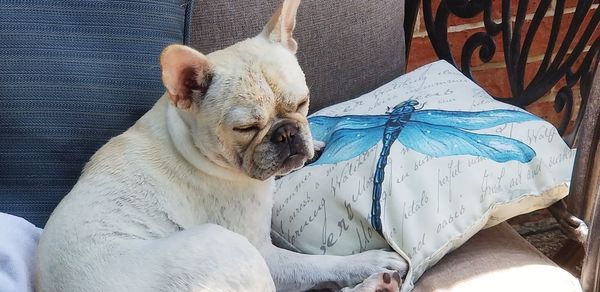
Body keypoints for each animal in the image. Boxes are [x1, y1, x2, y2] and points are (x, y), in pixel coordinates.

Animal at [36, 1, 408, 290]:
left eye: (302, 103)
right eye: (245, 128)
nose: (287, 133)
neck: (189, 142)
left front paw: (314, 143)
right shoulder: (265, 252)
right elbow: (319, 265)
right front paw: (370, 262)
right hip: (230, 248)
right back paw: (376, 283)